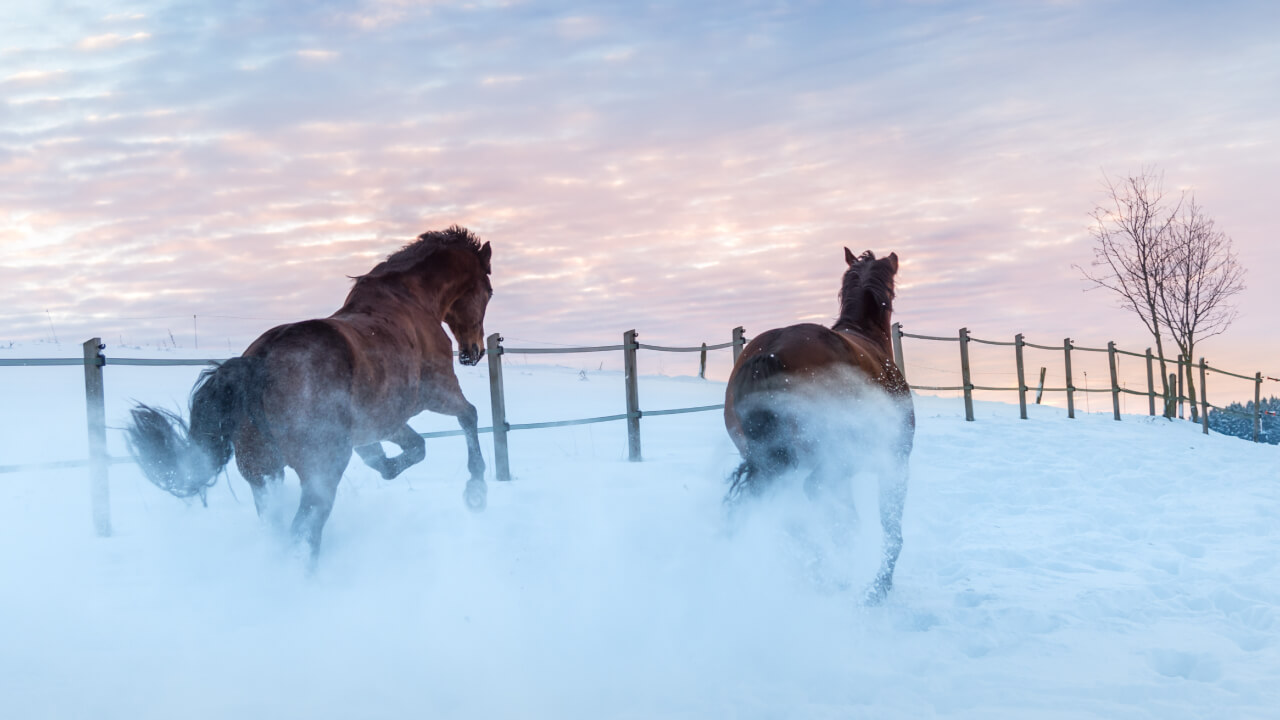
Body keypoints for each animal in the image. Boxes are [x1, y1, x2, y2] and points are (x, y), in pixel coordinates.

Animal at [126, 225, 494, 561]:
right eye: (488, 292)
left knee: (281, 528)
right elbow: (468, 416)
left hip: (263, 474)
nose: (473, 353)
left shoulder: (383, 422)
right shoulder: (439, 392)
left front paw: (383, 461)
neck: (410, 300)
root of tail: (258, 362)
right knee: (304, 531)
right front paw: (476, 492)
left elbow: (410, 450)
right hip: (318, 472)